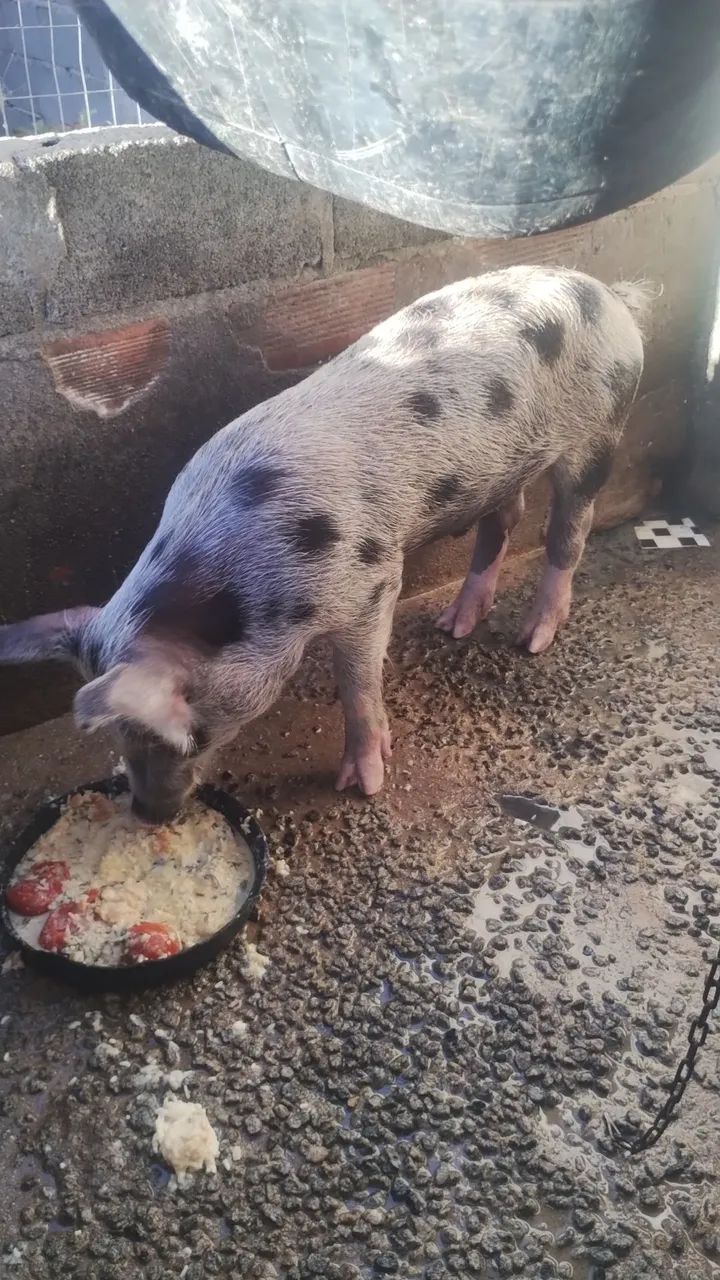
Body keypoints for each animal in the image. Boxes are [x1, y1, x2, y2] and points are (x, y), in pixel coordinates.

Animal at [0, 266, 648, 819]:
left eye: (192, 736)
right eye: (115, 739)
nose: (146, 814)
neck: (247, 589)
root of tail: (609, 295)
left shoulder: (373, 580)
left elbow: (358, 685)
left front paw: (364, 783)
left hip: (601, 430)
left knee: (568, 532)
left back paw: (534, 637)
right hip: (500, 469)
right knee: (502, 521)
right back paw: (454, 624)